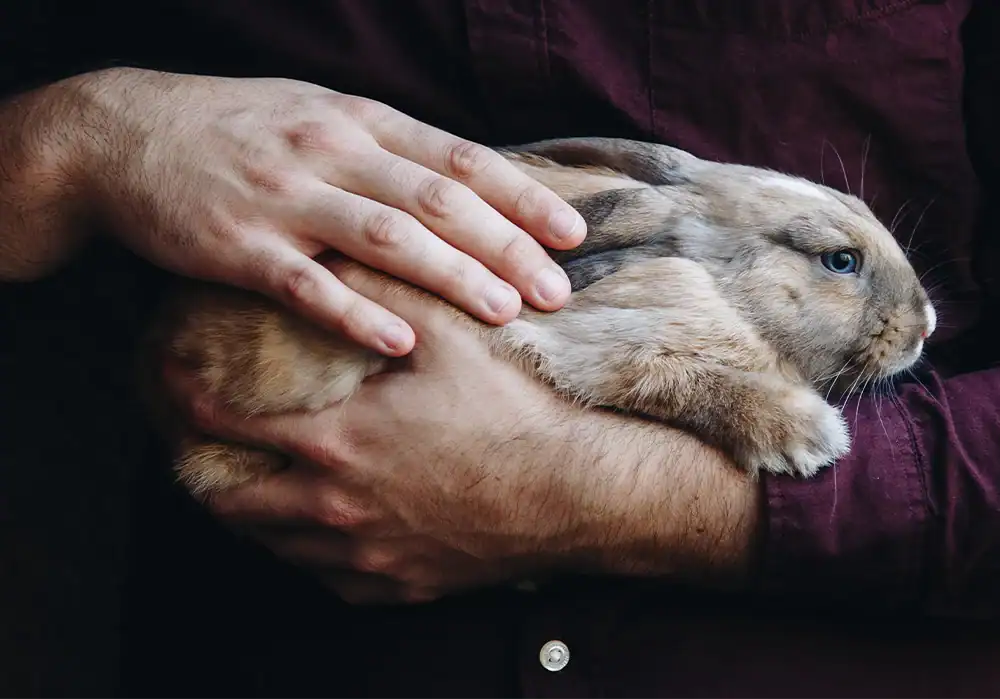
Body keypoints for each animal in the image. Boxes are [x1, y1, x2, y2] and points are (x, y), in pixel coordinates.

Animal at [143, 137, 937, 498]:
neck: (720, 287)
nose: (926, 325)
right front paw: (809, 437)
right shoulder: (593, 348)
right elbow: (686, 383)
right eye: (840, 261)